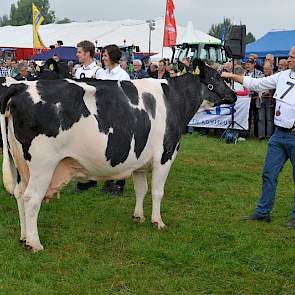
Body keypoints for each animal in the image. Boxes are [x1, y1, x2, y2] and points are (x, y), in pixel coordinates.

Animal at [0, 59, 236, 252]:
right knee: (31, 198)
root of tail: (21, 86)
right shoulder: (165, 155)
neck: (174, 100)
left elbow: (142, 190)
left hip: (19, 162)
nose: (234, 95)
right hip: (42, 165)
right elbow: (157, 191)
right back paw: (34, 243)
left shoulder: (139, 161)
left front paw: (138, 216)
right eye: (217, 77)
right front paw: (157, 222)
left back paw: (23, 237)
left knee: (20, 195)